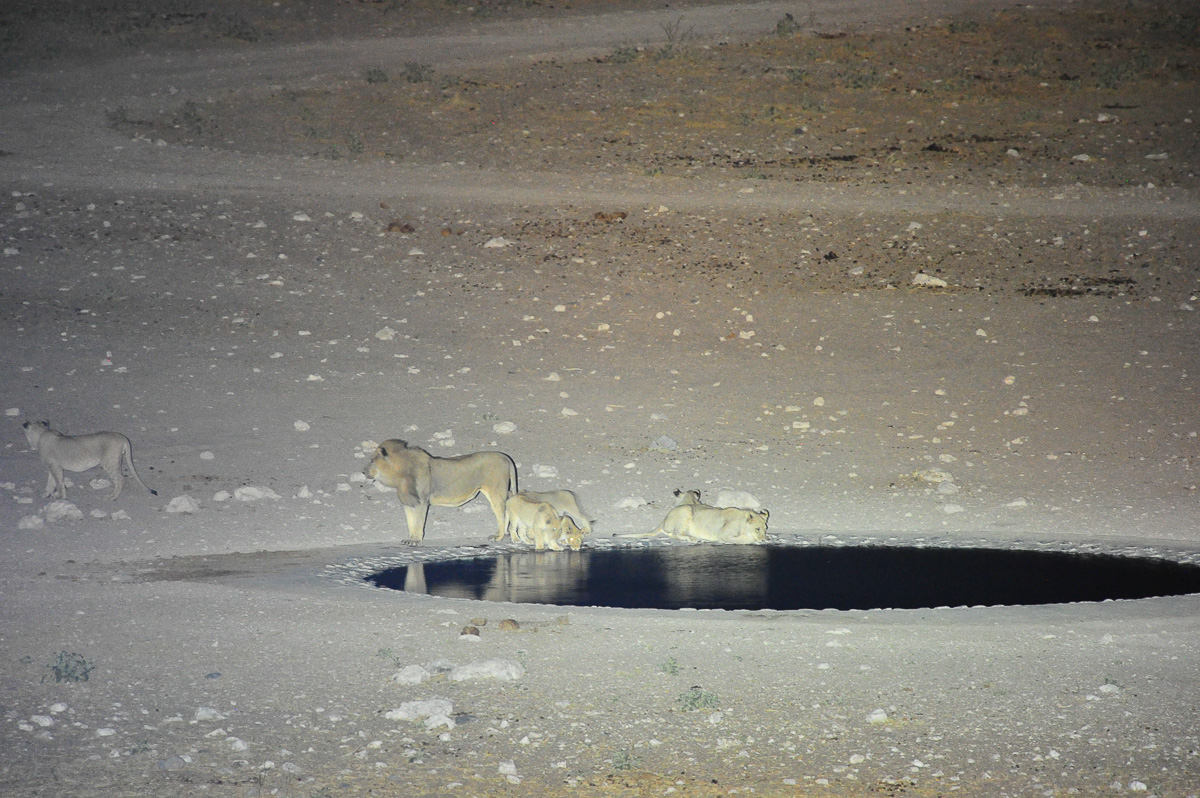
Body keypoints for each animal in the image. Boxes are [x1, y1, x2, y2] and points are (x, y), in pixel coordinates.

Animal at [23, 420, 157, 500]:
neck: (42, 433)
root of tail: (122, 437)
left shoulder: (55, 466)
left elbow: (59, 483)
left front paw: (61, 499)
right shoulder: (53, 466)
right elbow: (50, 482)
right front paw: (46, 494)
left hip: (110, 462)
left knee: (120, 479)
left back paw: (112, 496)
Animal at [364, 439, 517, 545]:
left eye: (371, 460)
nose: (363, 471)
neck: (399, 474)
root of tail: (505, 457)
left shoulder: (421, 501)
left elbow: (418, 522)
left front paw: (416, 541)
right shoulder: (409, 502)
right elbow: (410, 522)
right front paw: (410, 539)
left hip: (495, 491)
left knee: (501, 514)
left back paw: (498, 536)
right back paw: (506, 533)